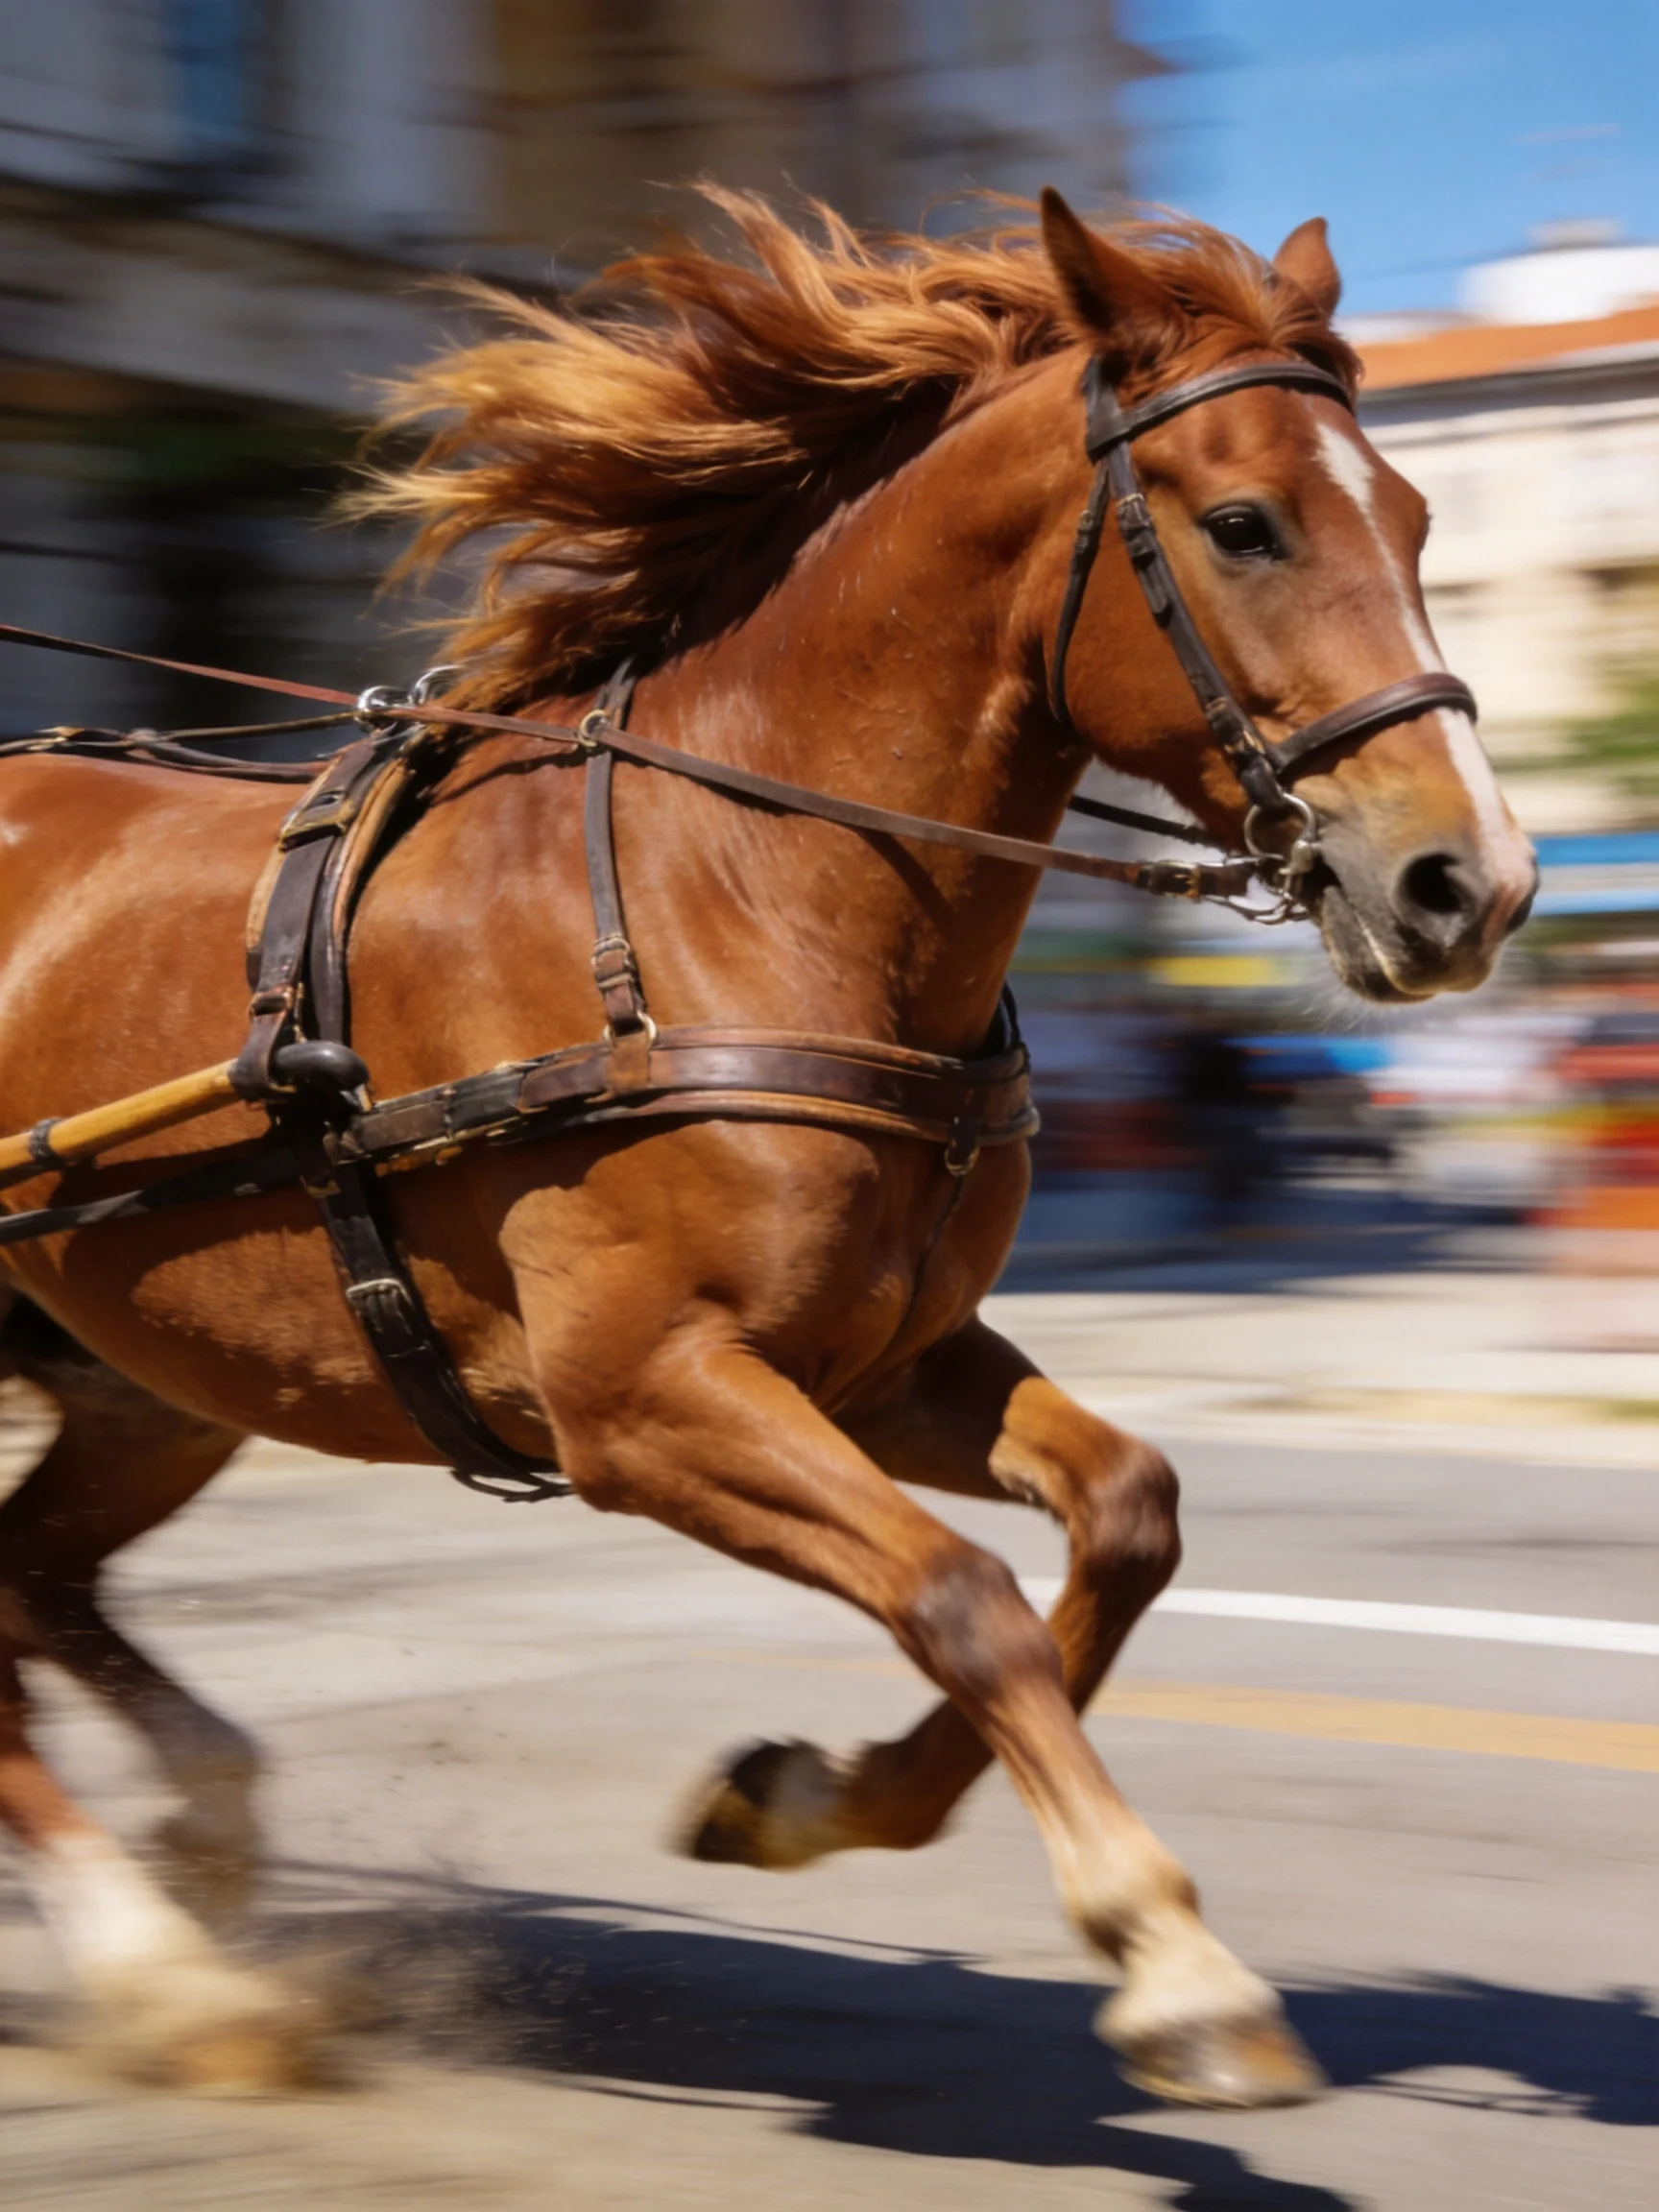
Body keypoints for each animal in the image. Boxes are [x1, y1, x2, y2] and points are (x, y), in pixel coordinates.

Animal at [0, 188, 1535, 2105]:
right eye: (1243, 523)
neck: (736, 888)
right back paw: (162, 1969)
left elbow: (1123, 1516)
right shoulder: (642, 1395)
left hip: (153, 1378)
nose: (1471, 883)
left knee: (31, 1584)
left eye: (1412, 516)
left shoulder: (882, 1363)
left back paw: (202, 1832)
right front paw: (1169, 1951)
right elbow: (962, 1593)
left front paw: (813, 1799)